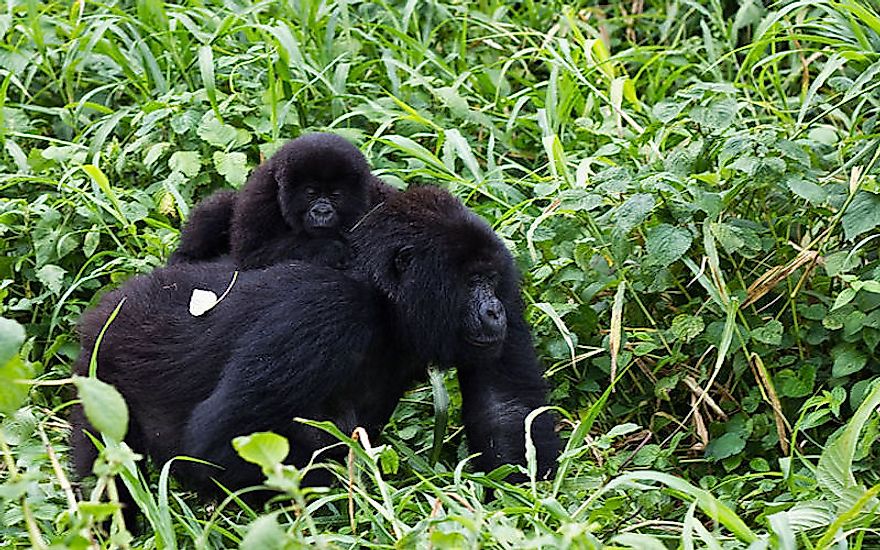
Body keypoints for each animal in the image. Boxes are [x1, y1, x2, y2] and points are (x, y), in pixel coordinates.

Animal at [72, 189, 560, 504]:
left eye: (490, 280)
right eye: (472, 281)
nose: (495, 311)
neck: (381, 296)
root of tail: (112, 302)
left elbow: (506, 407)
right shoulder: (325, 310)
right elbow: (220, 441)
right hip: (101, 364)